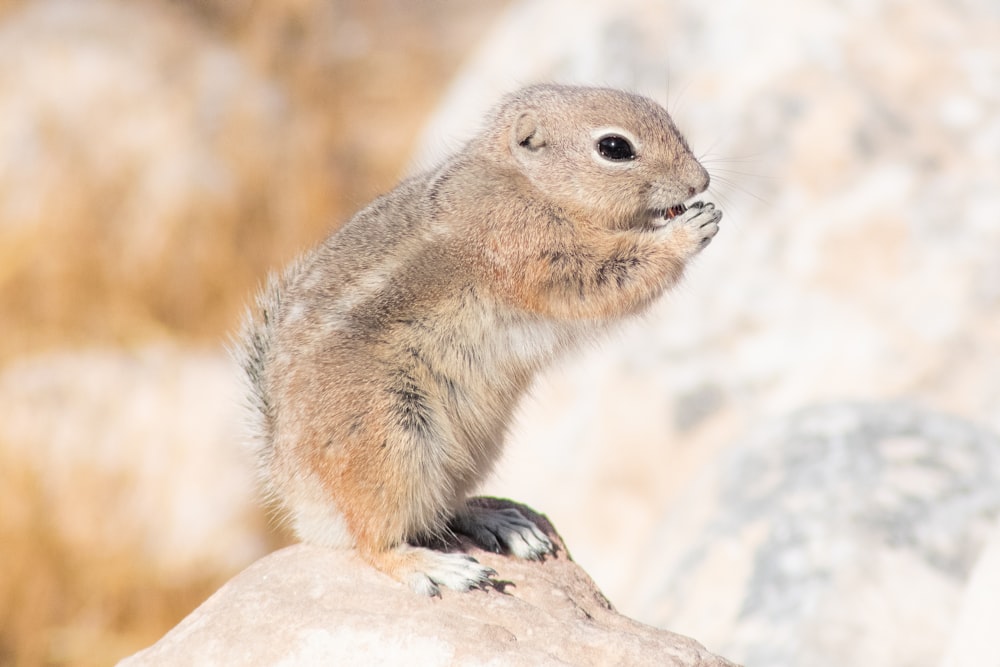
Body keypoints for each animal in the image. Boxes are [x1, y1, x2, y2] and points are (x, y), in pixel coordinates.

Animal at [234, 82, 720, 596]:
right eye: (615, 148)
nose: (701, 181)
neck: (525, 181)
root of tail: (296, 490)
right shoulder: (527, 247)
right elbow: (607, 276)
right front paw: (687, 231)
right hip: (391, 441)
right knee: (375, 540)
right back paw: (435, 567)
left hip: (470, 447)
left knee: (439, 509)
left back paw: (502, 525)